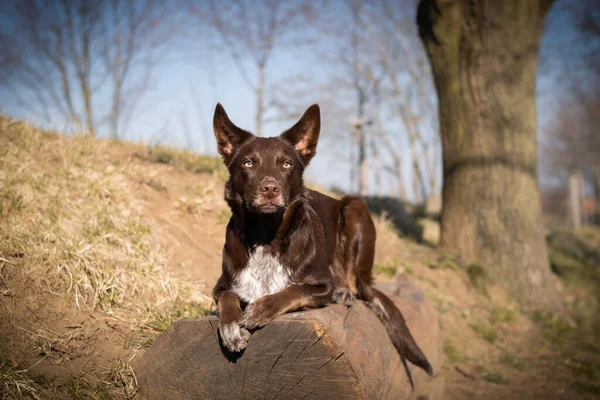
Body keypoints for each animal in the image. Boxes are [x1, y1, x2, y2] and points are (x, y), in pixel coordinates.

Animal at [211, 103, 432, 388]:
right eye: (248, 163)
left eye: (286, 164)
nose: (270, 188)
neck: (266, 235)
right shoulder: (221, 286)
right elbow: (228, 300)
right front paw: (230, 330)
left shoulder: (321, 284)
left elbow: (293, 291)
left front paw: (260, 309)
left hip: (354, 208)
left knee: (353, 280)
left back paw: (345, 291)